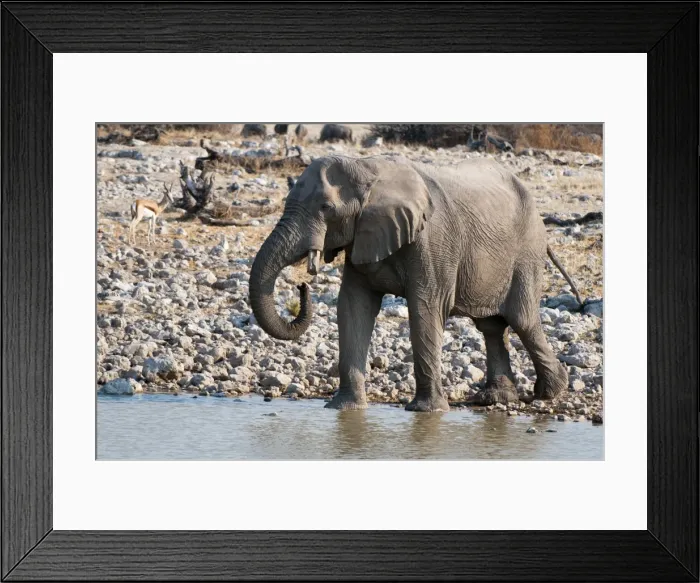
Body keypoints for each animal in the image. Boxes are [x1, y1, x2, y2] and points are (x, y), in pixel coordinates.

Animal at [249, 154, 579, 412]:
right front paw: (344, 408)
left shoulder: (433, 241)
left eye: (326, 208)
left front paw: (427, 411)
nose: (302, 287)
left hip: (526, 253)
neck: (368, 168)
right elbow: (354, 307)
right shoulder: (363, 236)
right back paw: (495, 398)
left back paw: (550, 392)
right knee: (491, 327)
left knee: (522, 320)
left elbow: (426, 308)